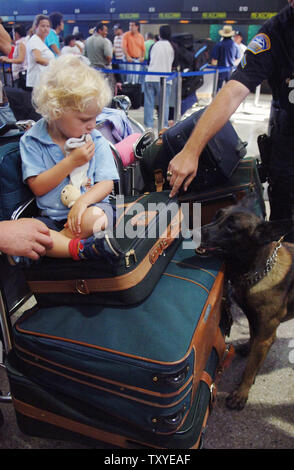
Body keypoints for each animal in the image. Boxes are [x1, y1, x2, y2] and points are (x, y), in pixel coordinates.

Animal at [200, 193, 294, 410]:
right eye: (217, 215)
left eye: (231, 228)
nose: (199, 231)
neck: (259, 271)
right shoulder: (253, 319)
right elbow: (252, 337)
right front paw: (248, 347)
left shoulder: (266, 335)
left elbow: (250, 368)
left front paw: (241, 393)